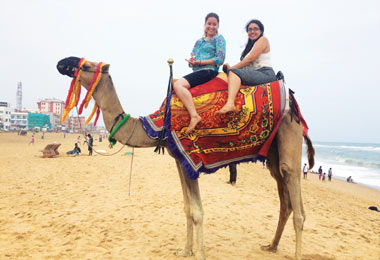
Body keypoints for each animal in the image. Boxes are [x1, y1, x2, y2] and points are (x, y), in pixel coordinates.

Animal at [56, 57, 314, 260]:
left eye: (86, 65)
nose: (62, 63)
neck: (158, 125)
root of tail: (291, 97)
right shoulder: (180, 161)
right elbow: (188, 208)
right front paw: (186, 250)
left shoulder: (191, 159)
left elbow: (198, 212)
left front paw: (199, 254)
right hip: (272, 153)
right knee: (285, 201)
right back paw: (271, 246)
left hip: (289, 134)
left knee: (297, 202)